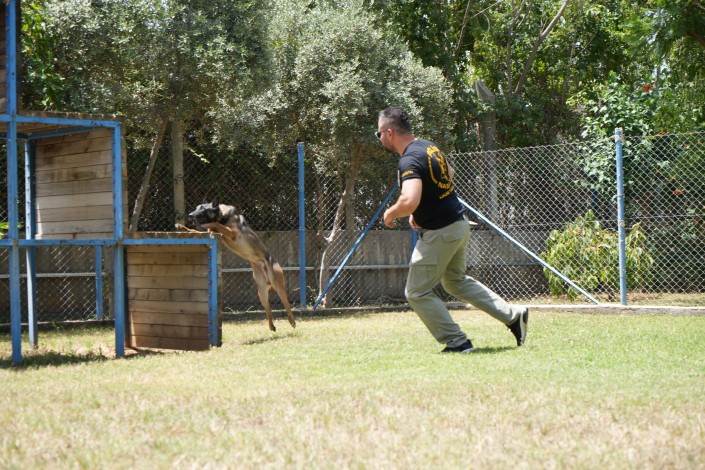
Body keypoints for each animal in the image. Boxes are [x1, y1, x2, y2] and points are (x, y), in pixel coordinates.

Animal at [179, 200, 296, 332]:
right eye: (197, 208)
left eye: (203, 208)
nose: (190, 215)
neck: (222, 215)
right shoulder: (215, 232)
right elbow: (197, 230)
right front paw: (183, 227)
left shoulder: (232, 232)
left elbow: (214, 223)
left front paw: (204, 225)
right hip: (261, 292)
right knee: (268, 309)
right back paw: (272, 326)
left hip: (278, 285)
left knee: (287, 304)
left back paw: (292, 321)